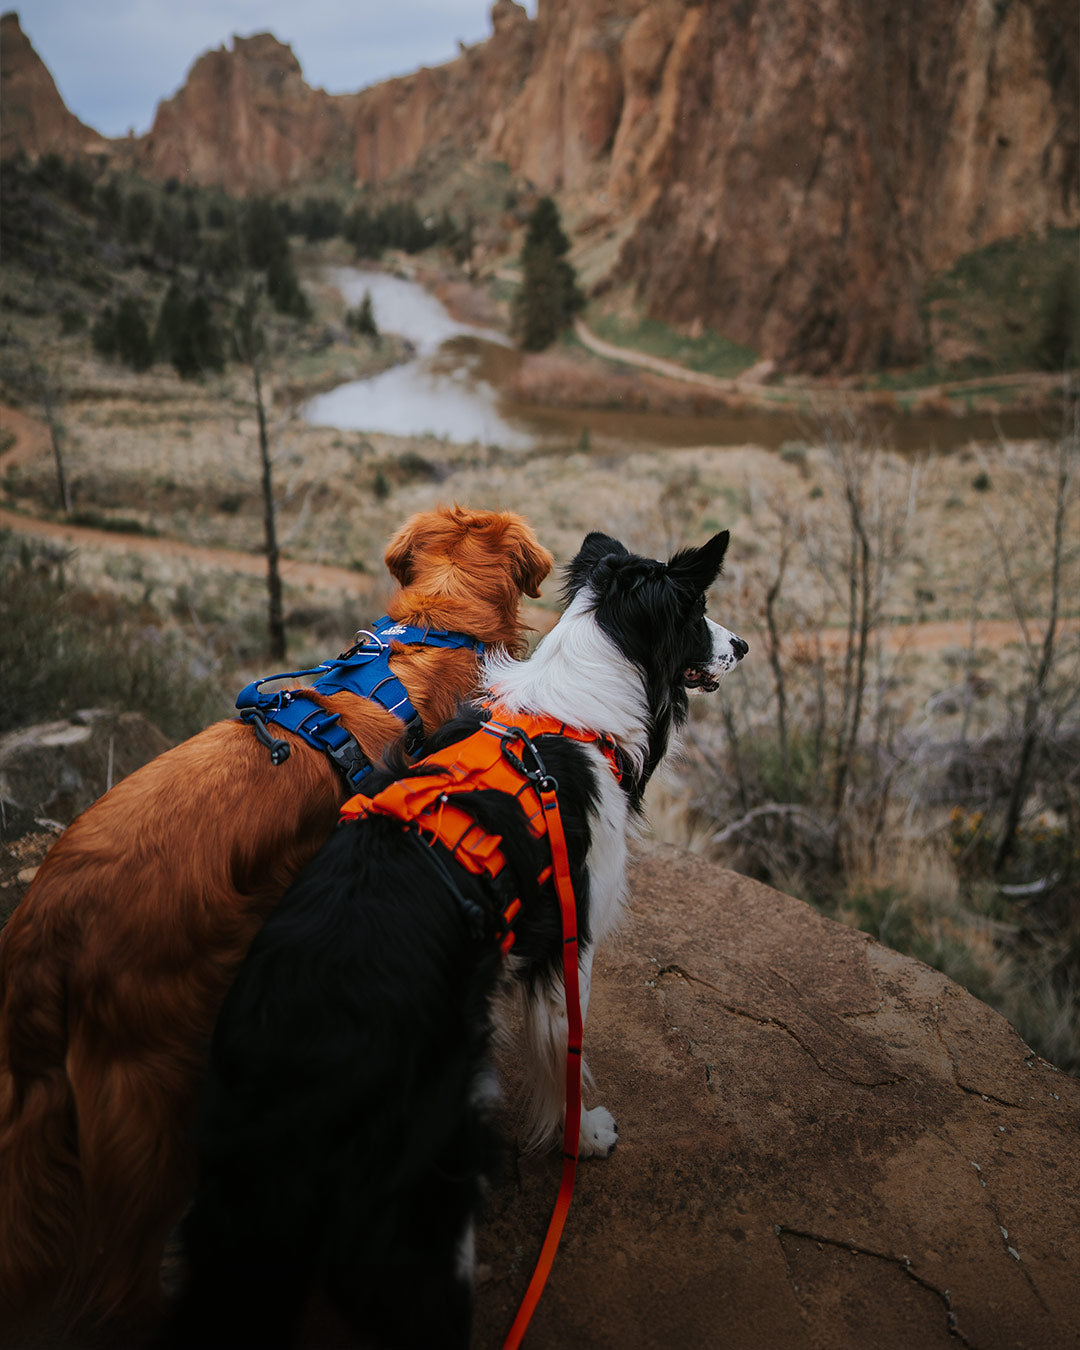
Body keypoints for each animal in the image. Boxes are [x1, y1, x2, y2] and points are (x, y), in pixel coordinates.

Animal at [168, 531, 745, 1350]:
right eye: (697, 611)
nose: (745, 644)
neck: (572, 715)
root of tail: (293, 1056)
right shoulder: (569, 937)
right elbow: (566, 1053)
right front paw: (585, 1135)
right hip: (427, 1199)